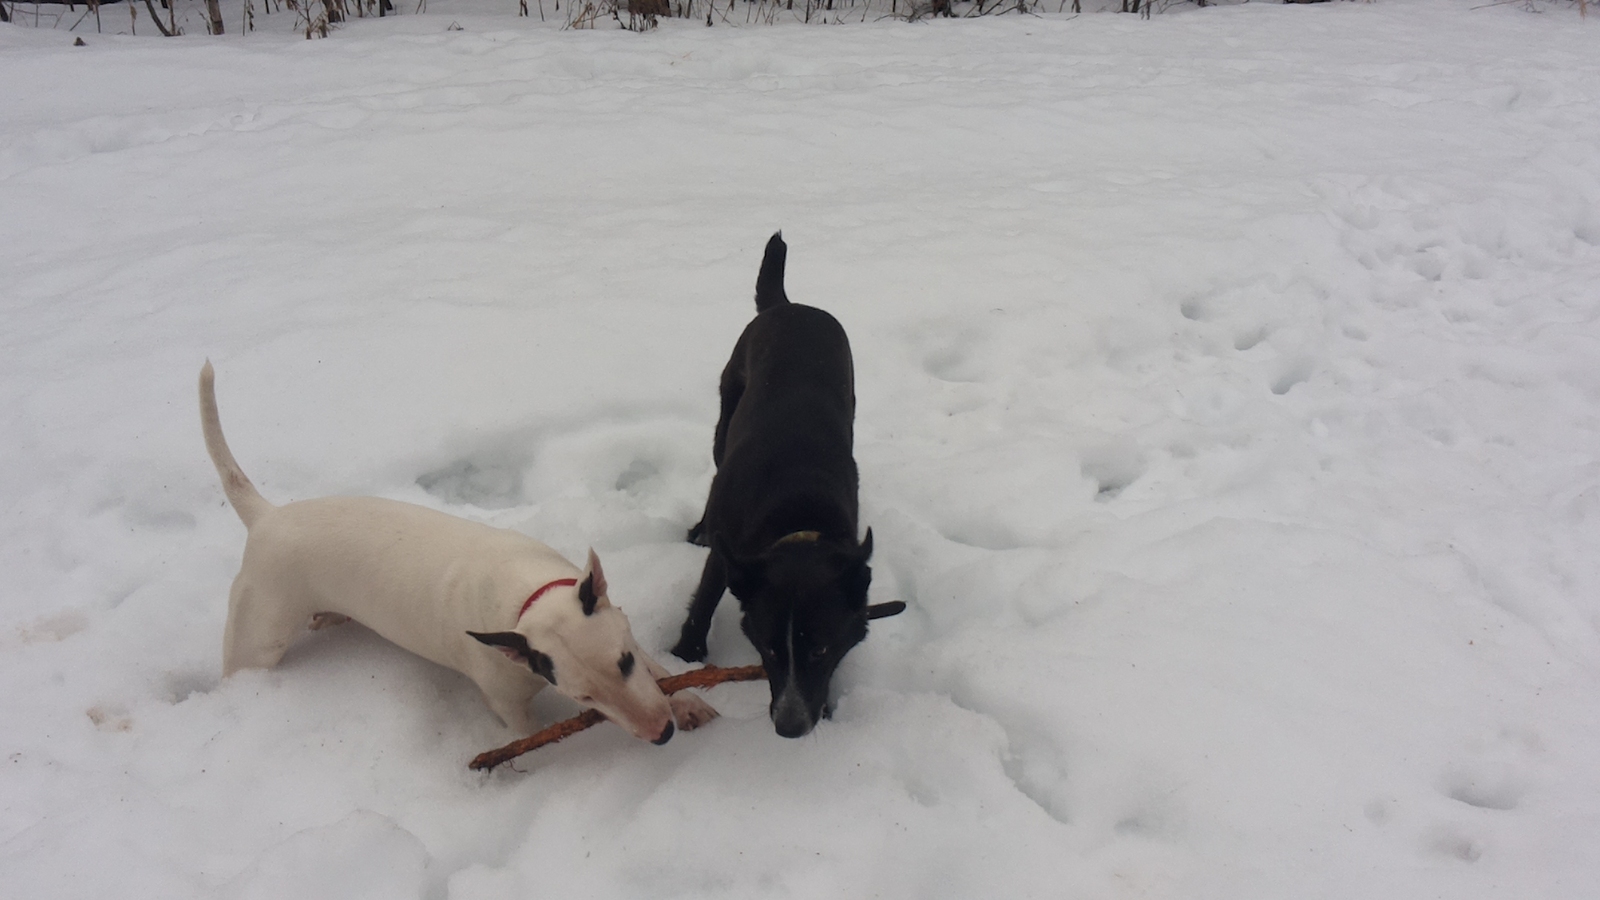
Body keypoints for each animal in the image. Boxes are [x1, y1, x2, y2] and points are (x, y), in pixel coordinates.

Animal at [198, 360, 713, 739]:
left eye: (623, 662)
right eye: (582, 697)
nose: (662, 733)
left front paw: (688, 701)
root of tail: (266, 517)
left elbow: (658, 669)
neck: (524, 599)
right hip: (259, 634)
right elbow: (528, 735)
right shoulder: (504, 701)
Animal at [668, 232, 908, 736]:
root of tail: (789, 304)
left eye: (821, 649)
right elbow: (706, 596)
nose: (790, 726)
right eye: (769, 648)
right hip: (726, 411)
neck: (797, 514)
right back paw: (698, 529)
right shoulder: (731, 550)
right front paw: (686, 655)